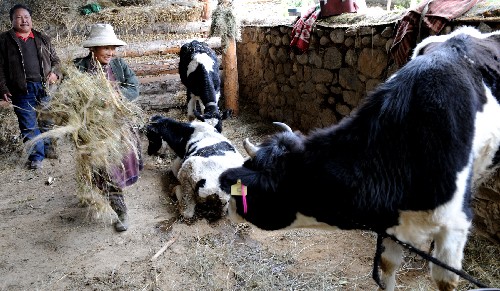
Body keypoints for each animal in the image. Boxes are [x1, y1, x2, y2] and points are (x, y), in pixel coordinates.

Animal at [221, 26, 500, 290]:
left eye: (246, 190)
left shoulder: (455, 226)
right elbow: (387, 266)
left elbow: (445, 280)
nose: (229, 209)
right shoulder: (390, 223)